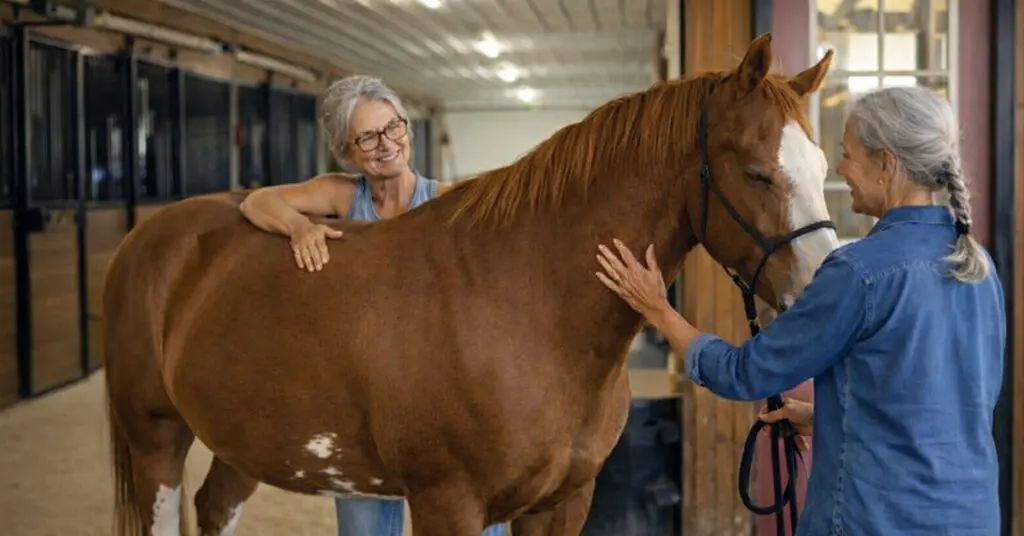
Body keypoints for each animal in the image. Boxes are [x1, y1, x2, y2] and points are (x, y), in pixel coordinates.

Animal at [102, 33, 836, 536]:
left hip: (242, 435)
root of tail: (145, 240)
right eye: (756, 172)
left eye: (824, 165)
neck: (525, 305)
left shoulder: (563, 503)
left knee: (215, 506)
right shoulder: (447, 504)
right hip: (156, 435)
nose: (824, 294)